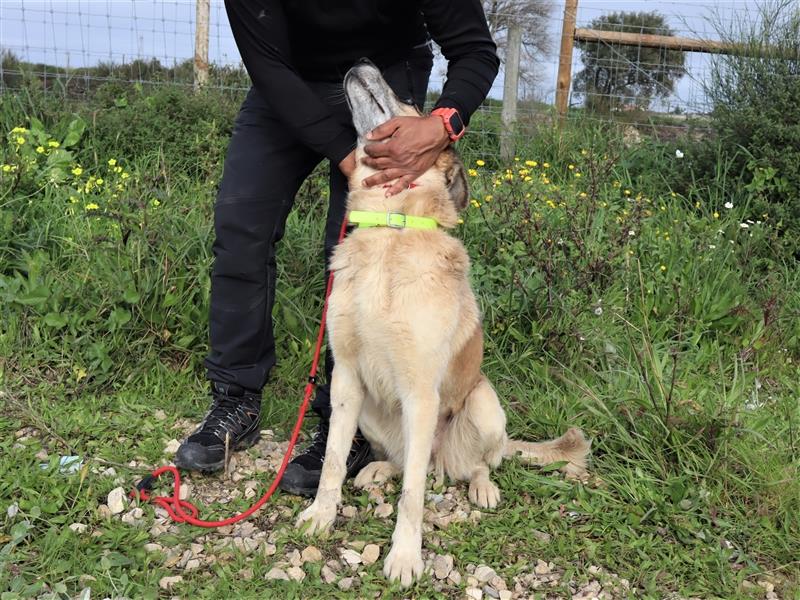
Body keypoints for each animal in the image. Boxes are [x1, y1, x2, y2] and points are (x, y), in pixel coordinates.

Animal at [296, 63, 592, 588]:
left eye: (412, 97)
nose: (361, 63)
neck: (390, 231)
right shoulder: (346, 379)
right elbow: (332, 462)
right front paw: (321, 516)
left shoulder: (421, 394)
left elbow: (413, 496)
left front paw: (404, 557)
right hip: (371, 411)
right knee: (404, 462)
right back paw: (377, 471)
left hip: (484, 406)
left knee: (474, 464)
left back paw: (482, 488)